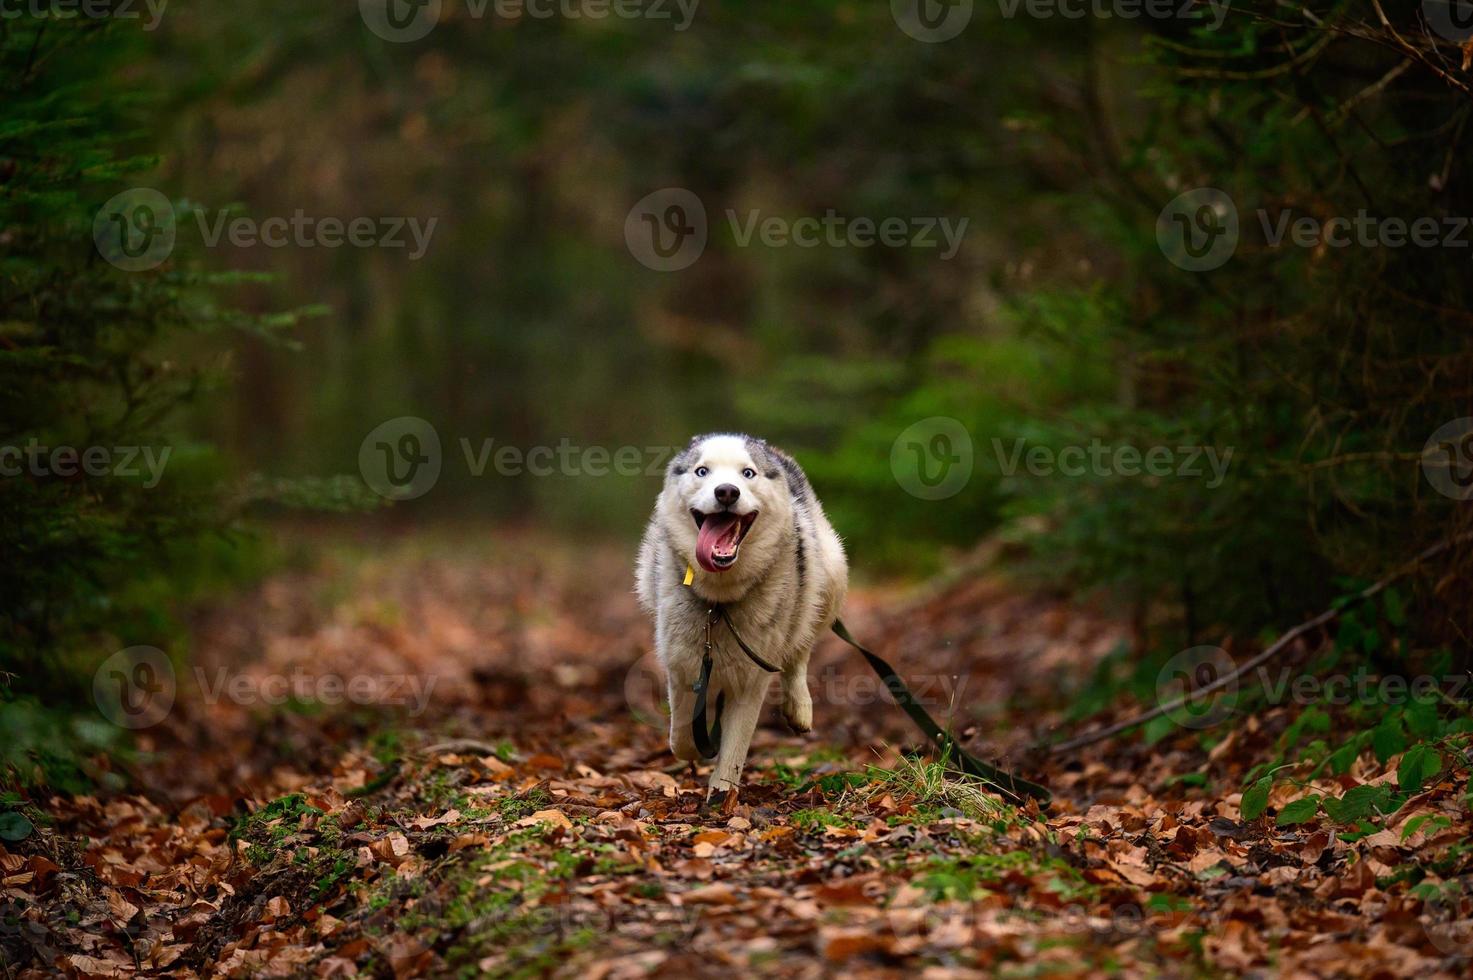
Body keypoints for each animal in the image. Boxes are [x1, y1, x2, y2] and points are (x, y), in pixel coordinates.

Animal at [636, 433, 854, 801]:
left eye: (747, 473)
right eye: (702, 471)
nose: (726, 491)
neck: (719, 604)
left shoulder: (753, 676)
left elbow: (735, 745)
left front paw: (722, 794)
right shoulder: (681, 666)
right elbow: (681, 736)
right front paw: (697, 752)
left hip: (829, 578)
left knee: (800, 647)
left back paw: (799, 706)